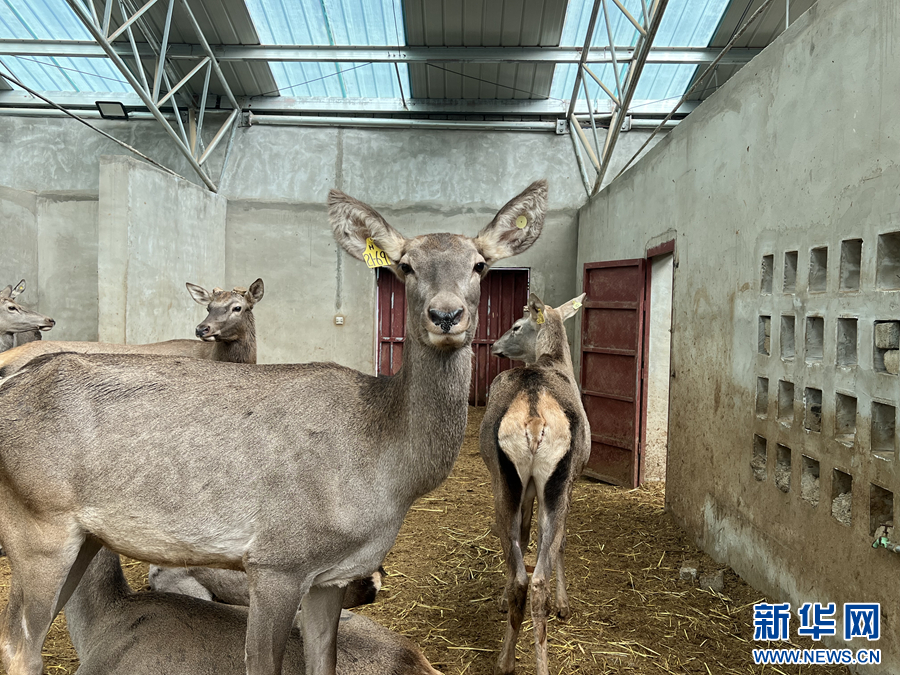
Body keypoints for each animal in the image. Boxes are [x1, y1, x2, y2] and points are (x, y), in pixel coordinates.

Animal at [480, 292, 589, 675]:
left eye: (516, 325)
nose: (495, 345)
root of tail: (533, 414)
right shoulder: (572, 479)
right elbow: (558, 541)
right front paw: (565, 604)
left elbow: (534, 541)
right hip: (542, 480)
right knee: (532, 568)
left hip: (506, 481)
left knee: (525, 575)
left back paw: (508, 660)